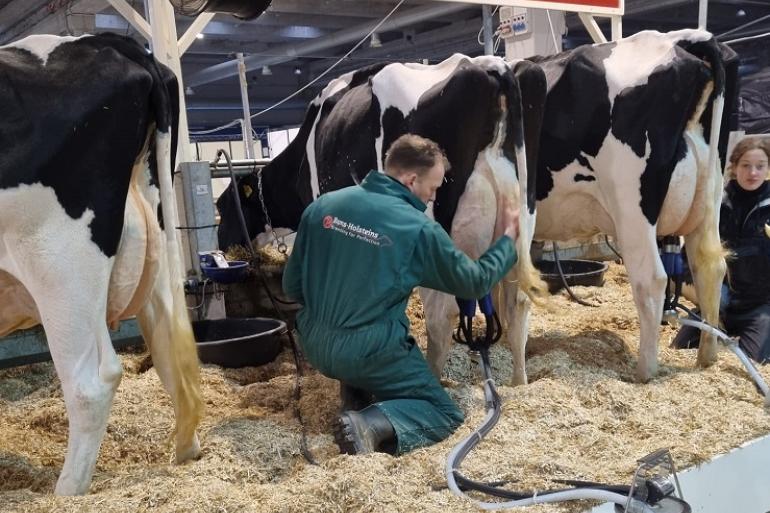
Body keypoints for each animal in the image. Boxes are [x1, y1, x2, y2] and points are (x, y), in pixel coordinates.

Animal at [0, 34, 202, 494]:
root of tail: (105, 41)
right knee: (169, 350)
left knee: (91, 383)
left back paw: (65, 494)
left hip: (60, 265)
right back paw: (187, 454)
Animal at [219, 27, 736, 384]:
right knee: (708, 265)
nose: (226, 248)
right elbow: (503, 292)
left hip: (630, 205)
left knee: (651, 280)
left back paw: (645, 370)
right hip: (706, 202)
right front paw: (502, 347)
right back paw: (706, 356)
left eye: (225, 209)